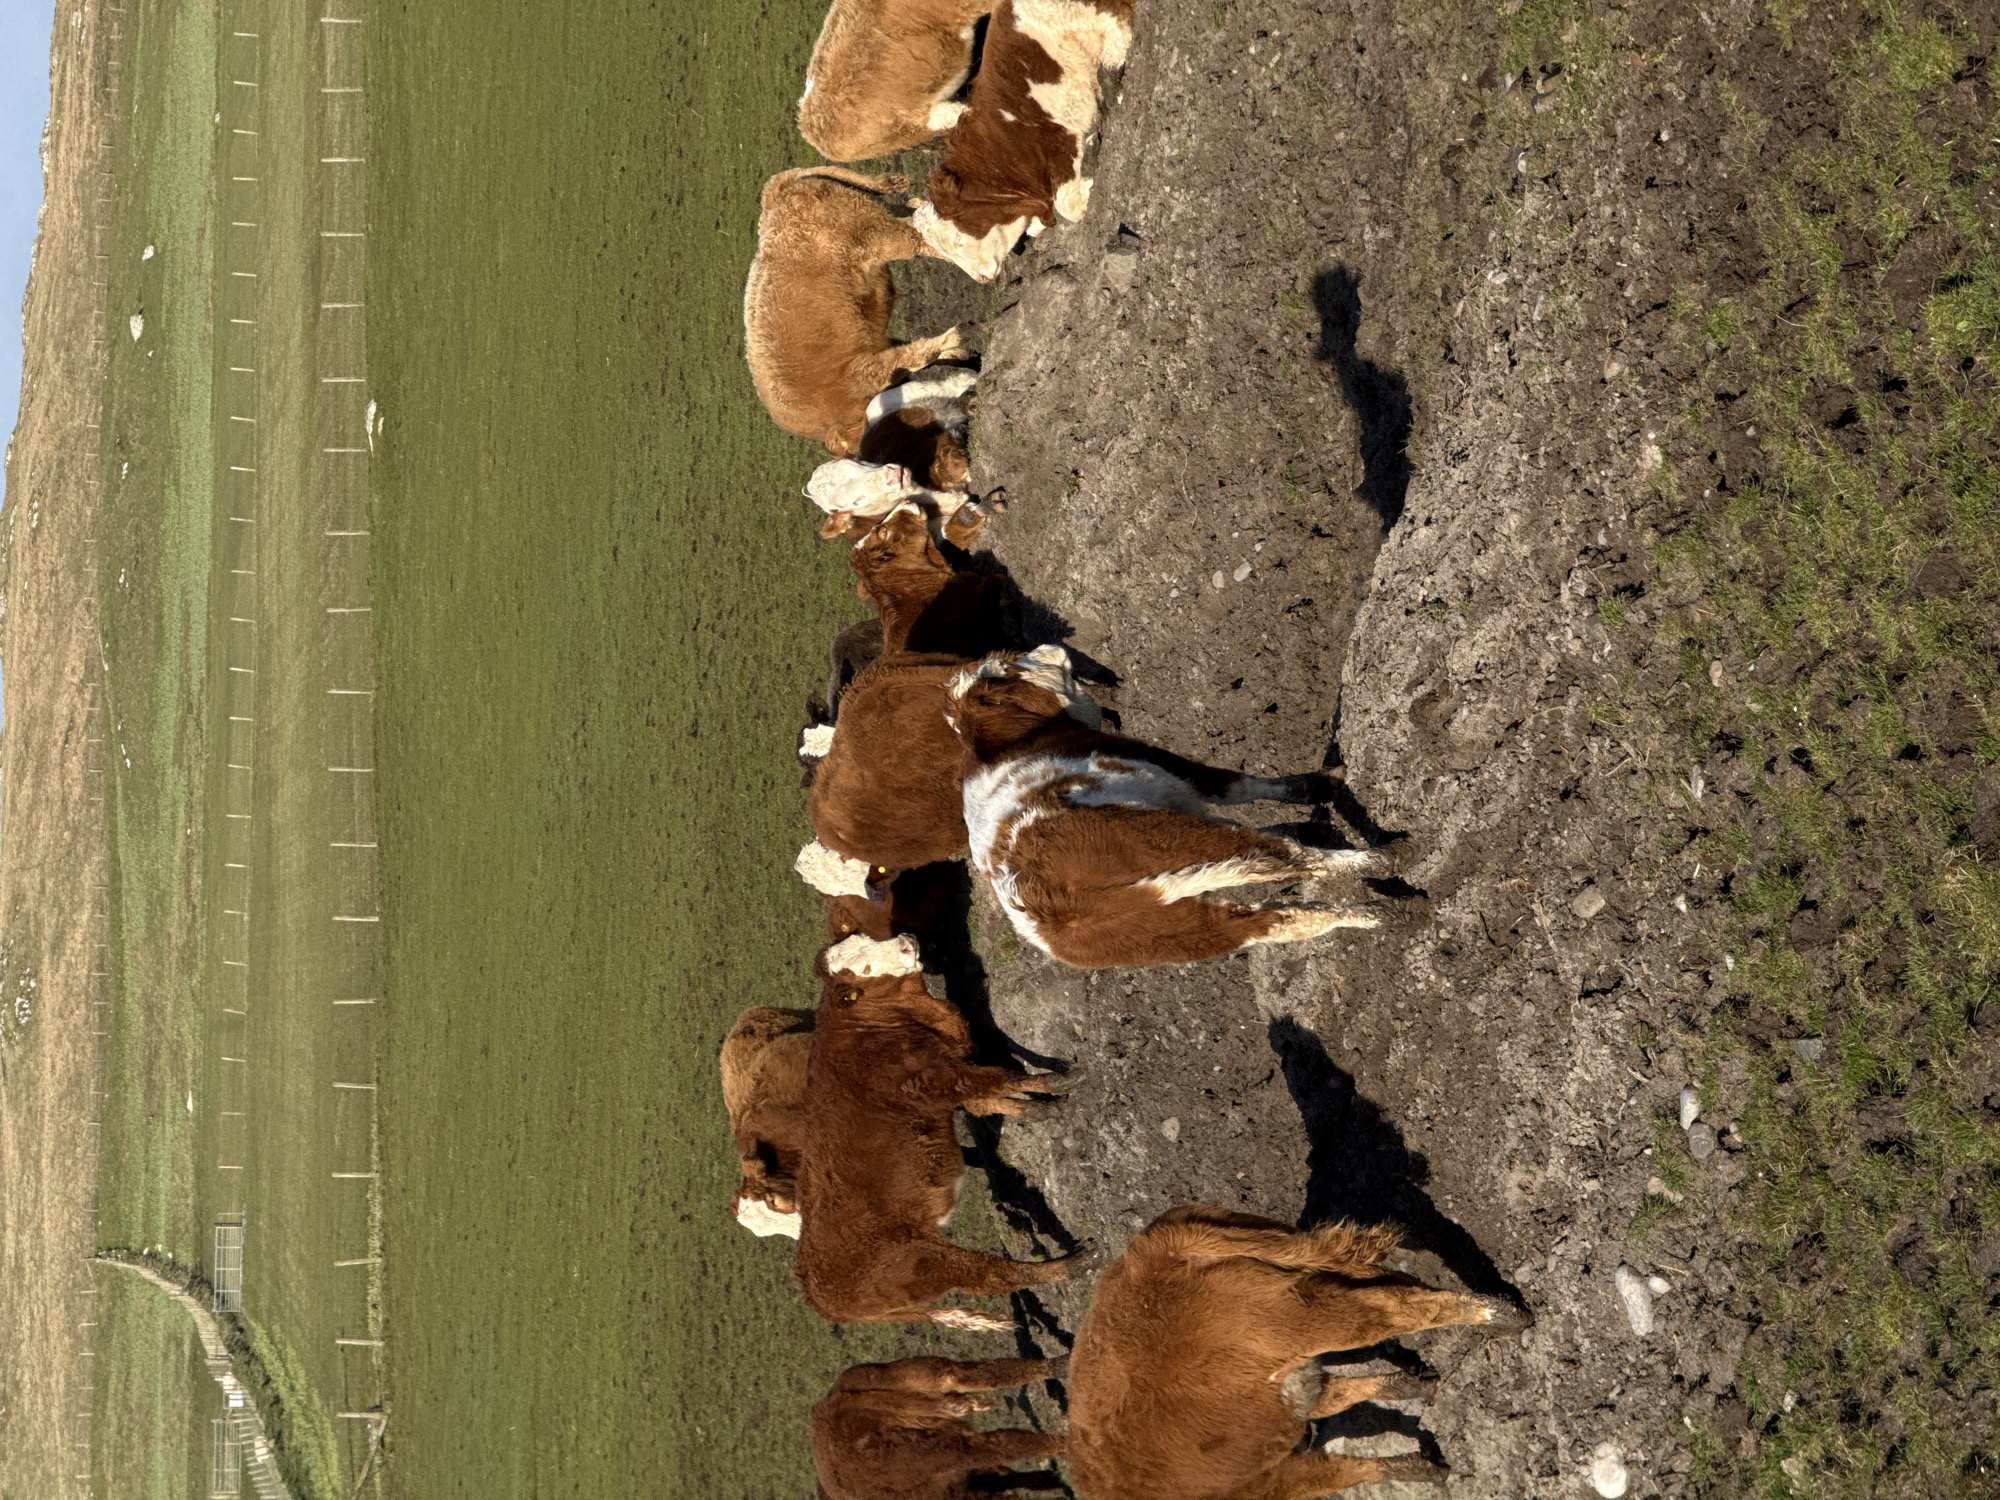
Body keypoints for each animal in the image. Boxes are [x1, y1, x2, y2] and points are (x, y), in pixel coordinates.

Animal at [744, 168, 973, 454]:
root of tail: (779, 194)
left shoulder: (864, 370)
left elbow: (913, 356)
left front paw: (955, 340)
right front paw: (955, 352)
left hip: (880, 233)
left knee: (922, 237)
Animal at [794, 932, 1085, 1329]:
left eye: (866, 937)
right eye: (865, 970)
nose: (905, 940)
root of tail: (819, 1297)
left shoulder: (953, 1076)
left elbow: (991, 1099)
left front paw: (1040, 1108)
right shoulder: (940, 1079)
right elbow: (1002, 1078)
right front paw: (1058, 1082)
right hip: (926, 1262)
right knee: (991, 1275)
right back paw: (1071, 1265)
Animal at [945, 647, 1380, 968]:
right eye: (1009, 668)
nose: (1047, 649)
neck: (1013, 745)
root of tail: (1045, 901)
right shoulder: (1171, 766)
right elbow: (1237, 786)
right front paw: (1320, 785)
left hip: (1171, 933)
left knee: (1278, 919)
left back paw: (1367, 915)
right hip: (1173, 839)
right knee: (1287, 858)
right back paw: (1373, 860)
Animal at [1065, 1205, 1535, 1500]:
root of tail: (1153, 1255)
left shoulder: (1274, 1484)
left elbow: (1346, 1471)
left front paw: (1425, 1469)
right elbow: (1337, 1397)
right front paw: (1414, 1389)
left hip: (1302, 1317)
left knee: (1392, 1309)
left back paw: (1506, 1316)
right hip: (1306, 1278)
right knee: (1391, 1285)